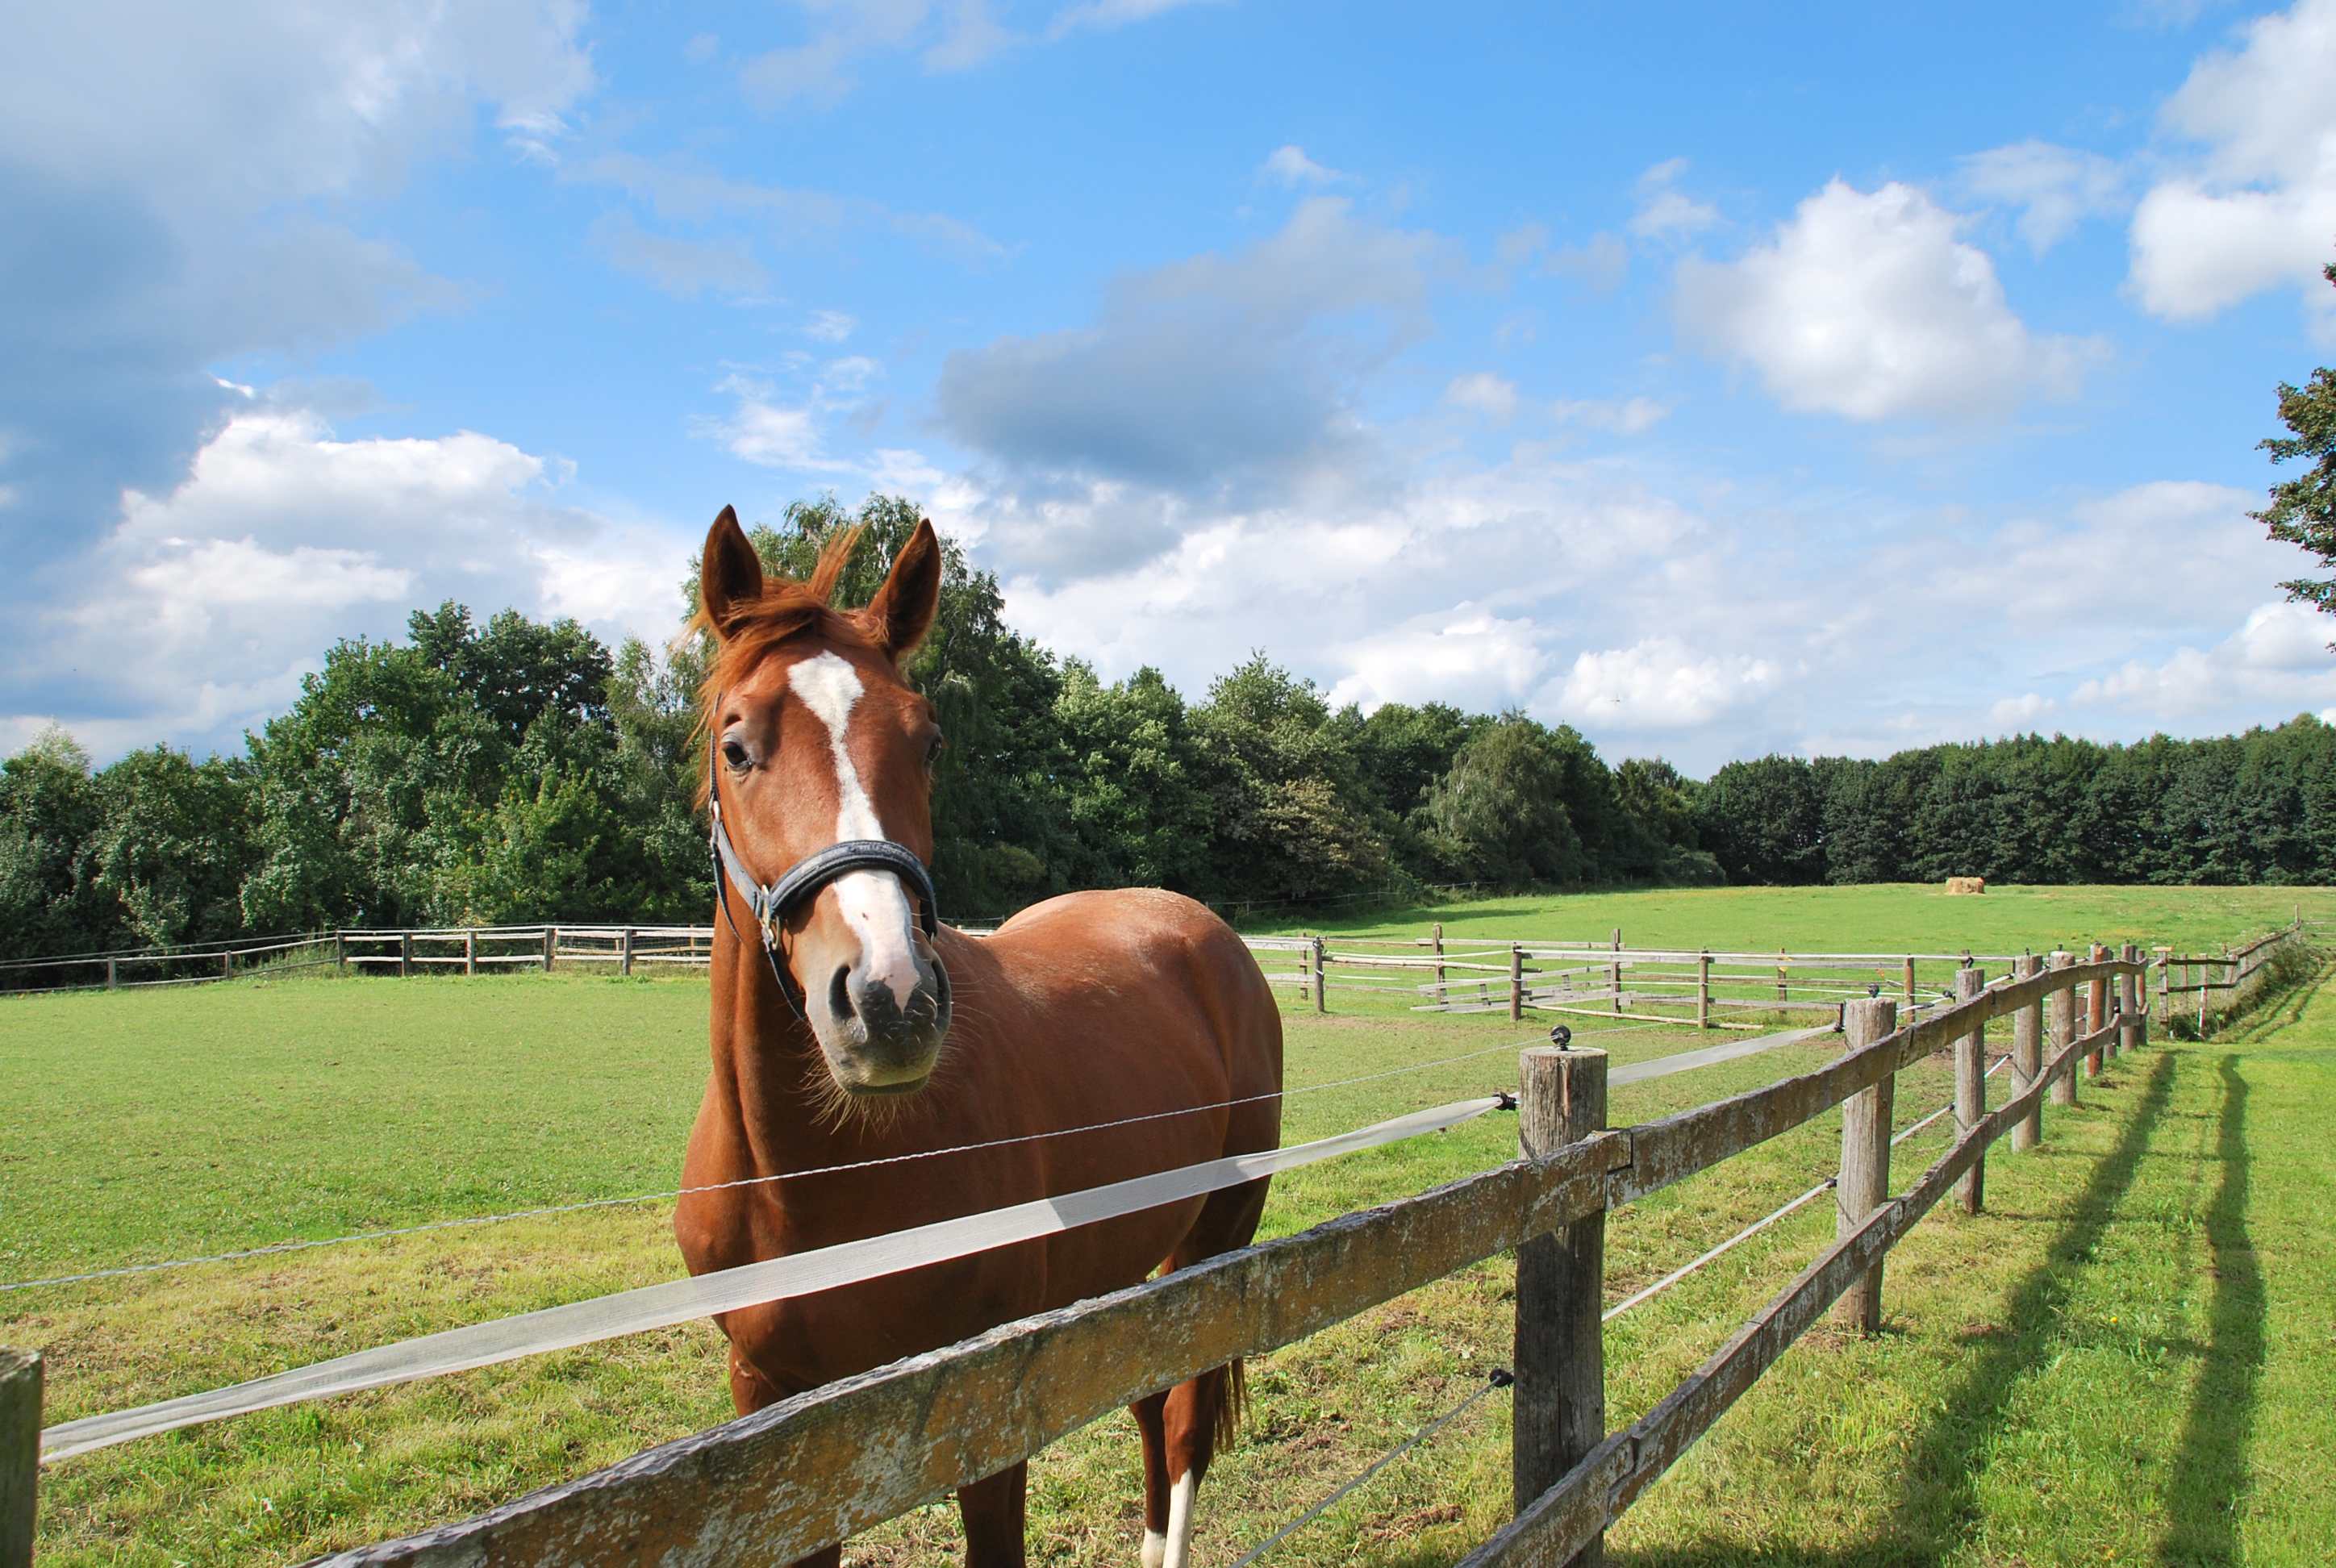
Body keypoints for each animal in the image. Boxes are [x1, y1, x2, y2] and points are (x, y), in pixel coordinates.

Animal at [677, 509, 1289, 1568]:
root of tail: (1203, 930)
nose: (889, 1000)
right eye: (737, 744)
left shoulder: (986, 1410)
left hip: (1216, 1236)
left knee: (1178, 1423)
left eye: (926, 742)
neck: (813, 1187)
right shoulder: (775, 1413)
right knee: (1150, 1408)